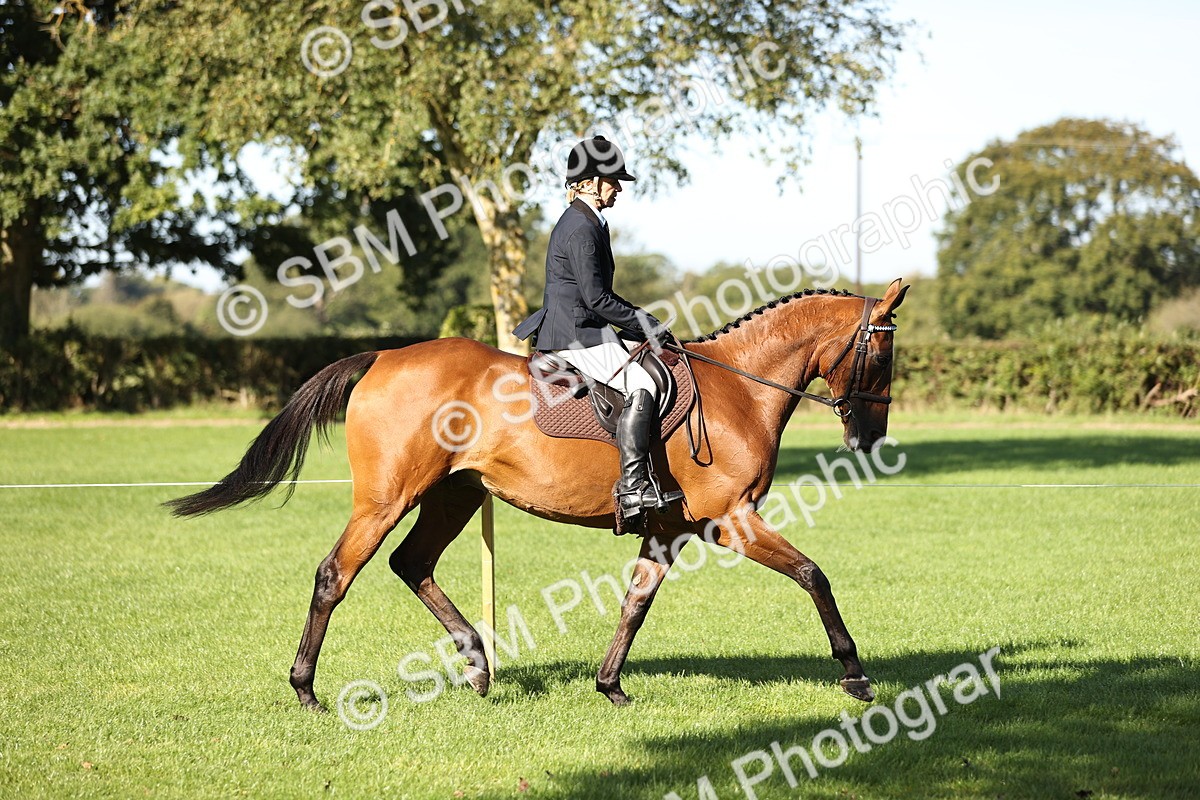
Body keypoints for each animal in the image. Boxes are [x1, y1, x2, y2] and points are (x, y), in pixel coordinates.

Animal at [168, 279, 909, 710]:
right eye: (881, 355)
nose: (869, 436)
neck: (740, 390)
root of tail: (383, 357)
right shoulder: (735, 519)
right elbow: (814, 575)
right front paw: (855, 675)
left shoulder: (670, 529)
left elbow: (635, 605)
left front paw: (610, 687)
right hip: (386, 499)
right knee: (335, 575)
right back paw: (307, 691)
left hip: (454, 496)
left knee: (412, 564)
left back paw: (477, 666)